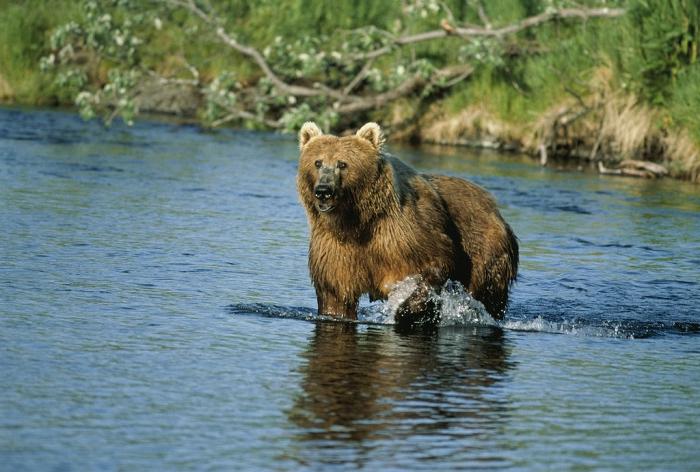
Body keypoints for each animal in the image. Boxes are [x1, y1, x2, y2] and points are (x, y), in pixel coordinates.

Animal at [298, 121, 516, 324]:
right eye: (318, 162)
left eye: (342, 164)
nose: (324, 190)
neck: (355, 222)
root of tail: (493, 205)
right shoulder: (335, 249)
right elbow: (335, 295)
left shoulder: (403, 236)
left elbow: (432, 266)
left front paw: (406, 311)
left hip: (483, 247)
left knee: (487, 292)